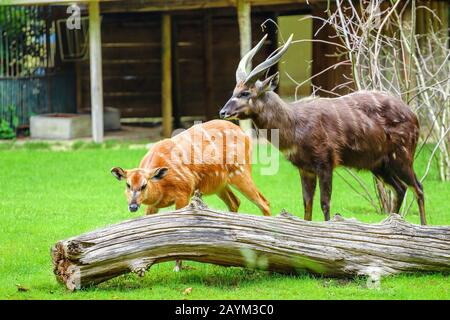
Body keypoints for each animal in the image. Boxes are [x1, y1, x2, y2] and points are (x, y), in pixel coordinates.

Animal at [111, 119, 270, 270]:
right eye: (128, 184)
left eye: (144, 185)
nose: (132, 206)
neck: (162, 186)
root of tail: (244, 134)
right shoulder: (153, 205)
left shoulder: (184, 192)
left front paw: (177, 267)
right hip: (220, 184)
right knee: (235, 201)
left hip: (240, 171)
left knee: (264, 202)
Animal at [220, 34, 428, 225]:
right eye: (234, 91)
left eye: (245, 93)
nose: (223, 112)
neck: (295, 125)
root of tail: (413, 115)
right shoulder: (305, 169)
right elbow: (307, 204)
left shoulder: (326, 163)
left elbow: (325, 203)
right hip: (380, 164)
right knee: (401, 188)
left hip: (402, 157)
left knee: (418, 187)